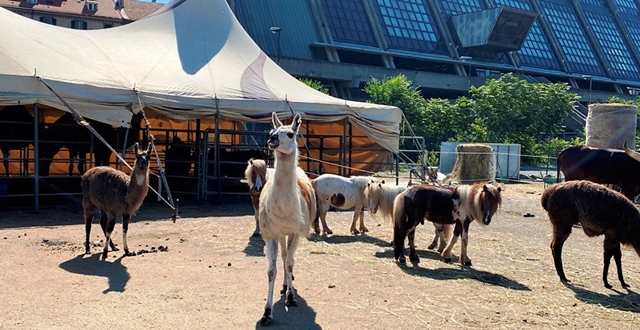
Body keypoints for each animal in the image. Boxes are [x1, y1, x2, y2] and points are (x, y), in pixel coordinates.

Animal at [255, 112, 316, 326]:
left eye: (290, 133)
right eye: (272, 130)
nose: (272, 139)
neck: (283, 209)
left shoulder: (296, 232)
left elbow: (290, 263)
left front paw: (291, 297)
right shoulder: (270, 234)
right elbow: (271, 271)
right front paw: (266, 313)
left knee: (289, 259)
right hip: (280, 234)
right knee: (283, 256)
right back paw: (283, 285)